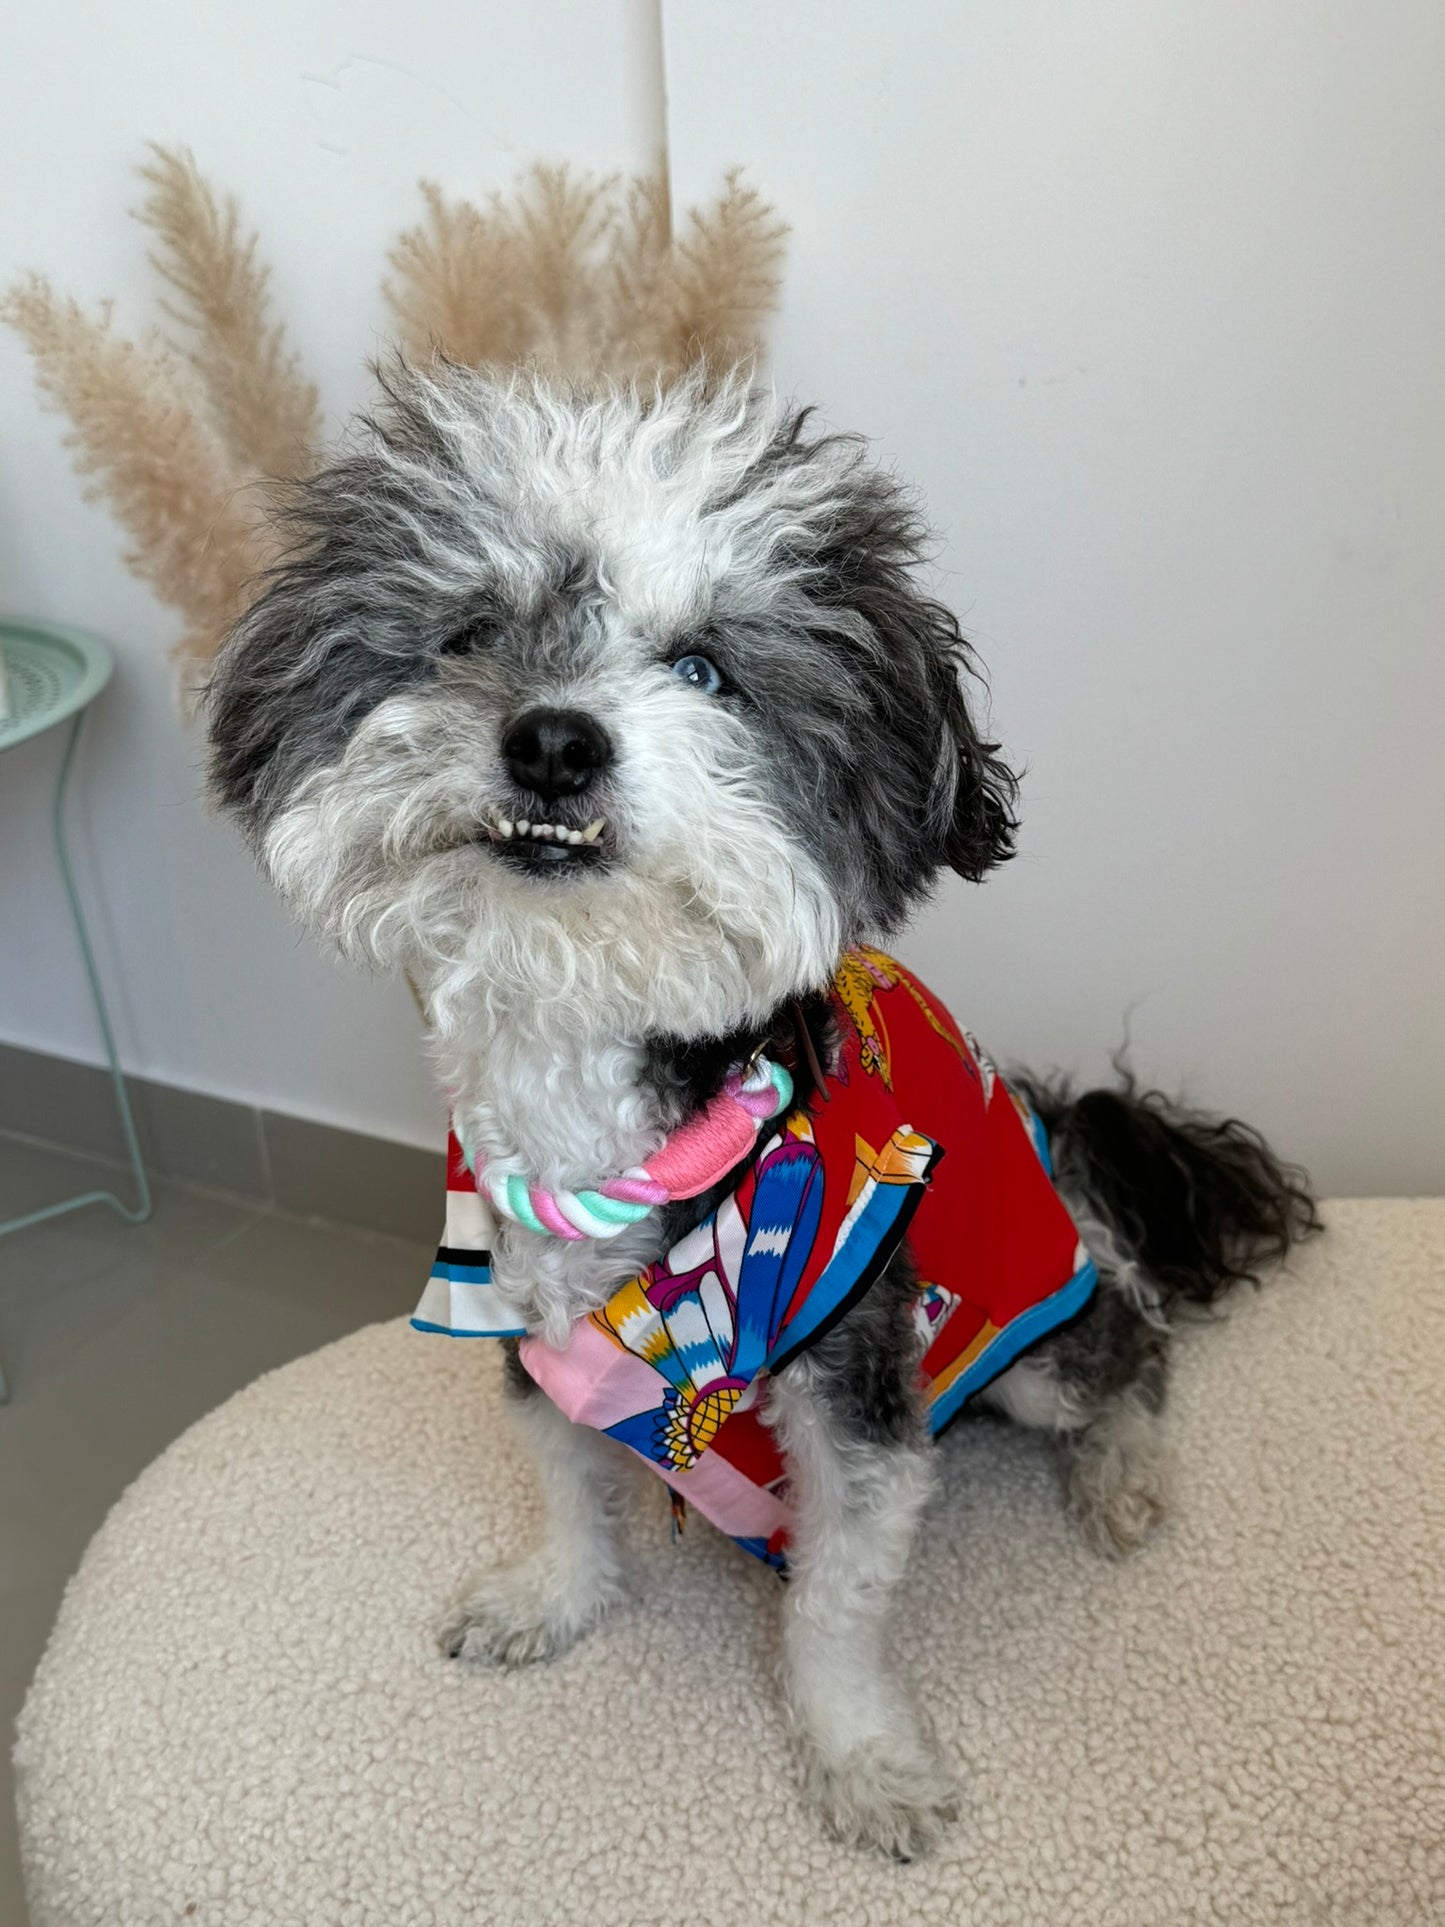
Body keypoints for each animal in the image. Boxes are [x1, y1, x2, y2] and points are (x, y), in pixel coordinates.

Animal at [206, 358, 1325, 1849]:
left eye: (705, 669)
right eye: (473, 631)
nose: (551, 739)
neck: (602, 1092)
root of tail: (1076, 1155)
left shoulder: (856, 1388)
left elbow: (835, 1607)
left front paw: (858, 1754)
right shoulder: (521, 1321)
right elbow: (565, 1487)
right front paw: (553, 1595)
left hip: (1028, 1328)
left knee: (1131, 1354)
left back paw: (1123, 1472)